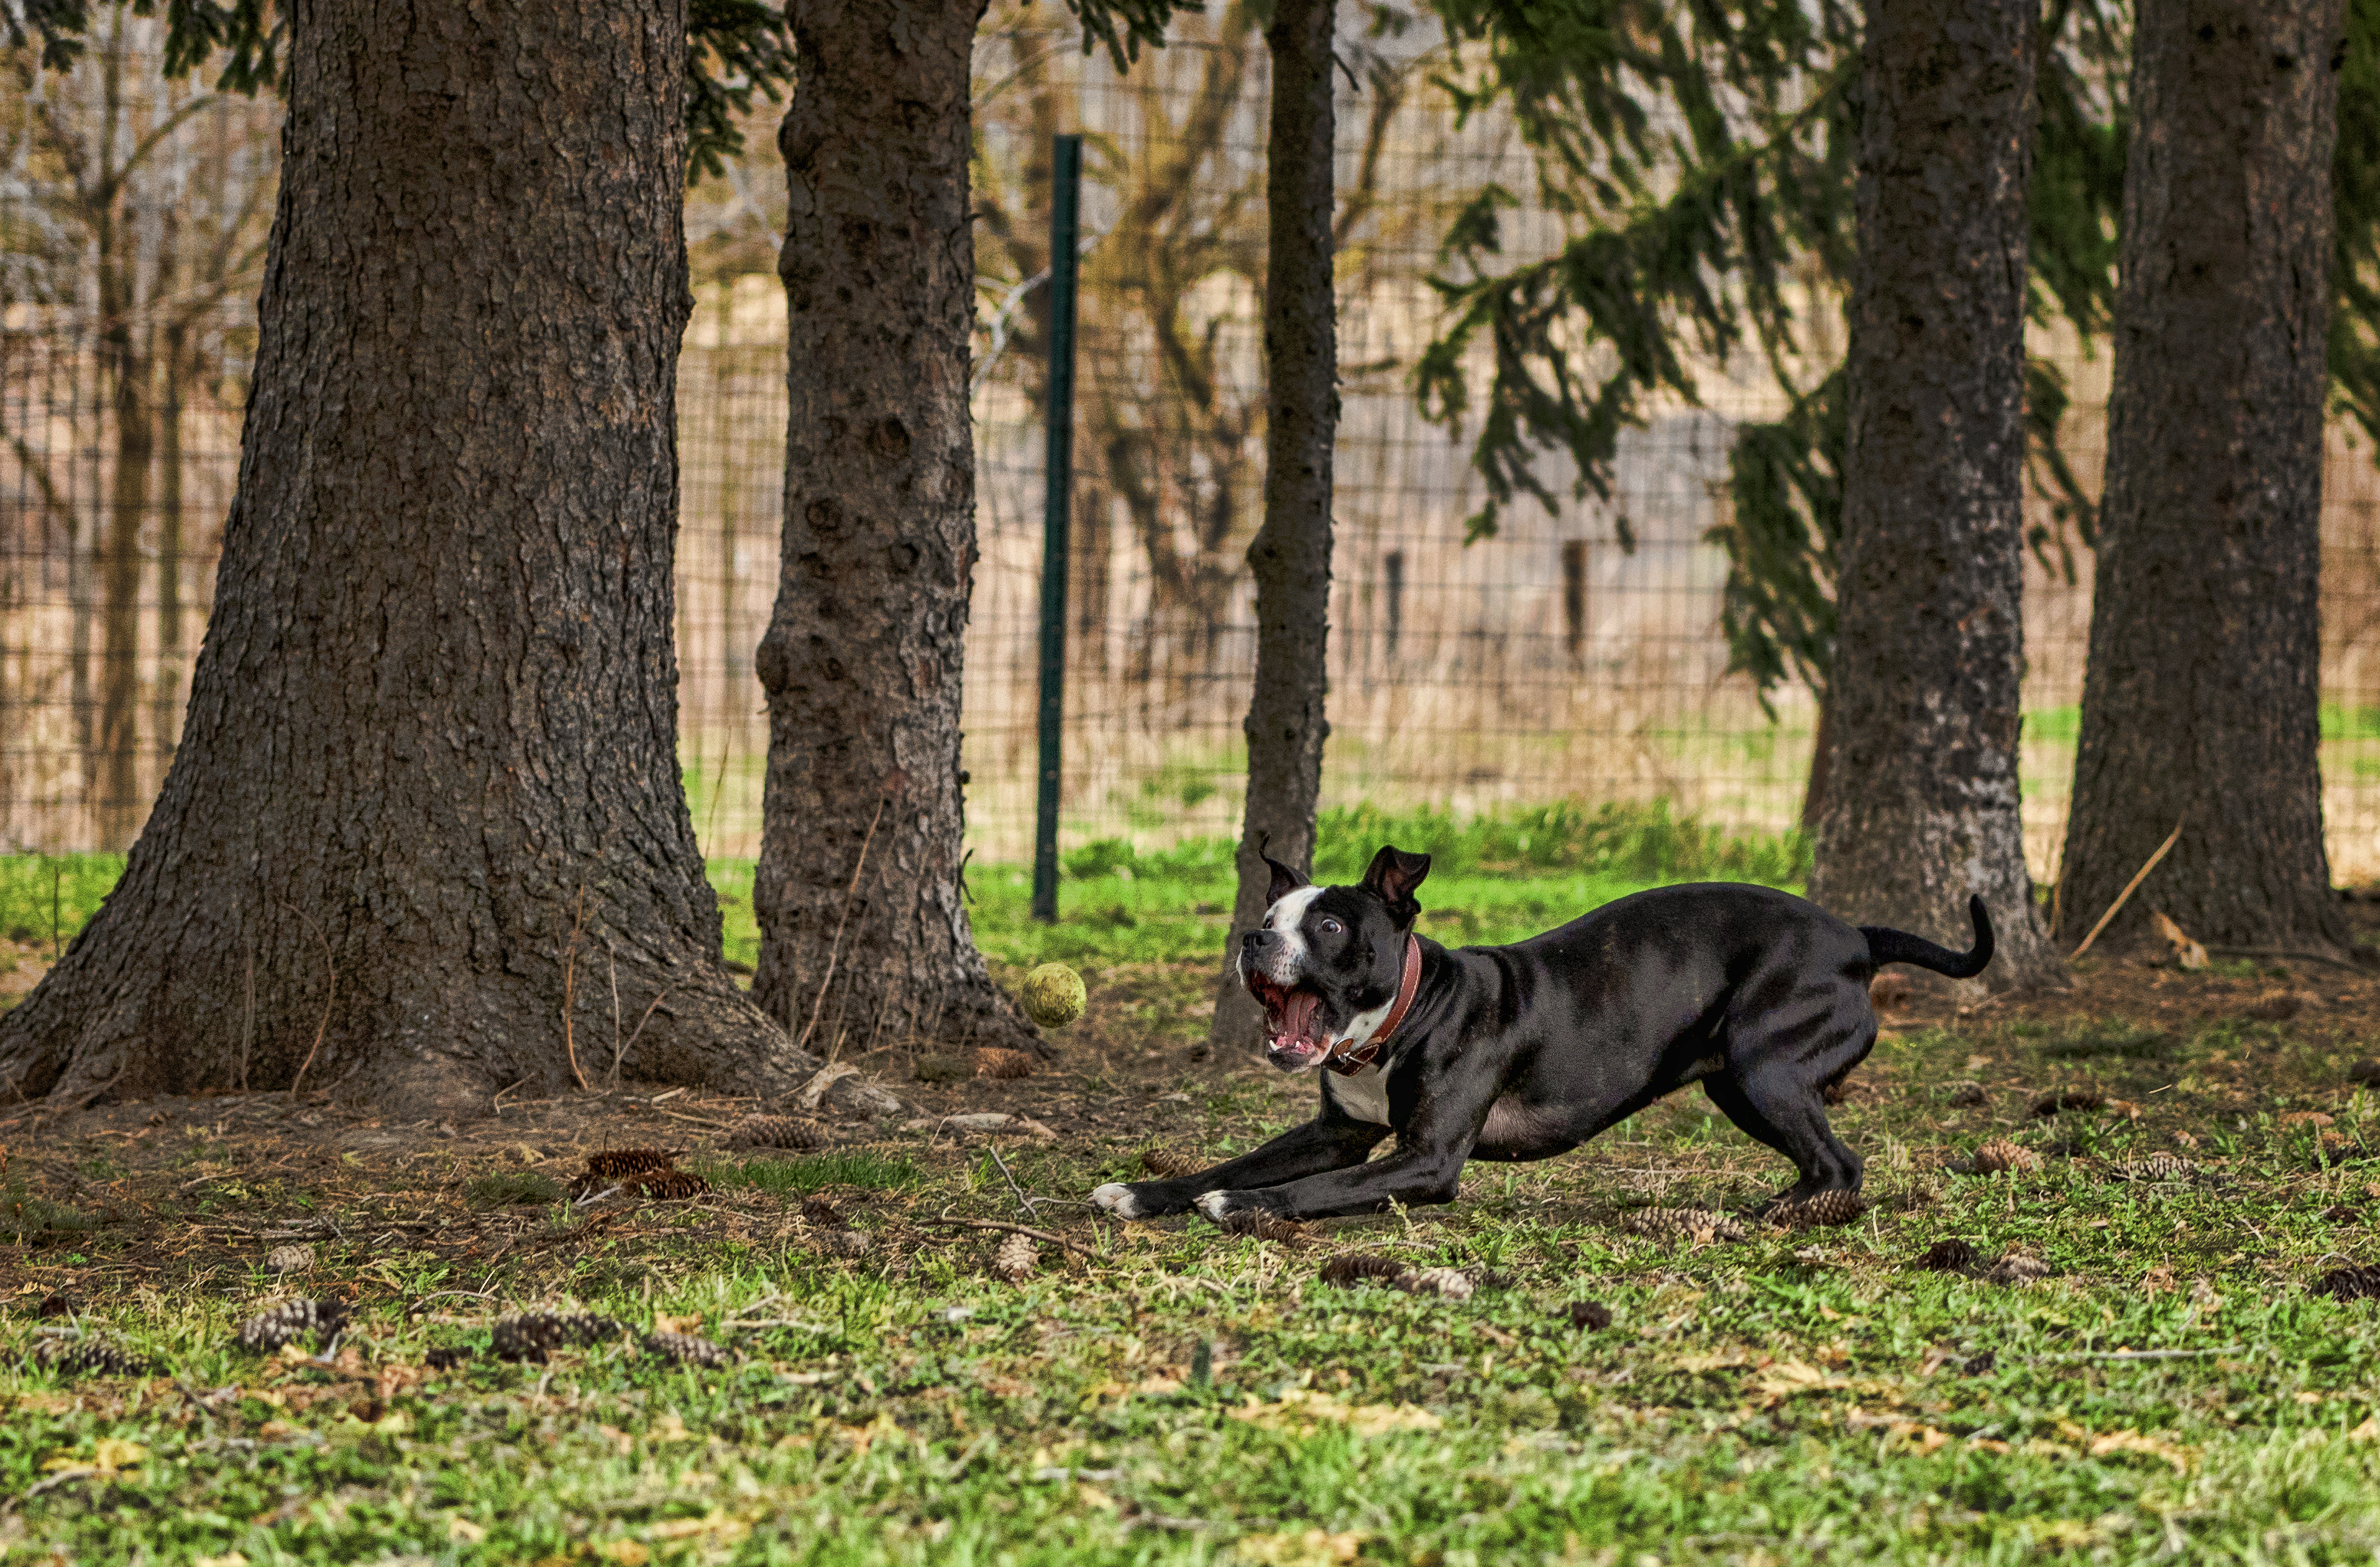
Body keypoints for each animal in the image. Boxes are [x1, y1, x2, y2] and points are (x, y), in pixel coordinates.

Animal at [1094, 846, 1990, 1226]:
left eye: (1329, 924)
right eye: (1271, 914)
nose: (1252, 937)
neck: (1403, 1016)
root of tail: (1857, 936)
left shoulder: (1423, 1158)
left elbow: (1312, 1189)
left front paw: (1242, 1207)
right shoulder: (1334, 1132)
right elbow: (1238, 1160)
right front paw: (1142, 1190)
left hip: (1763, 1067)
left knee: (1840, 1159)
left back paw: (1790, 1214)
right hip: (1736, 1078)